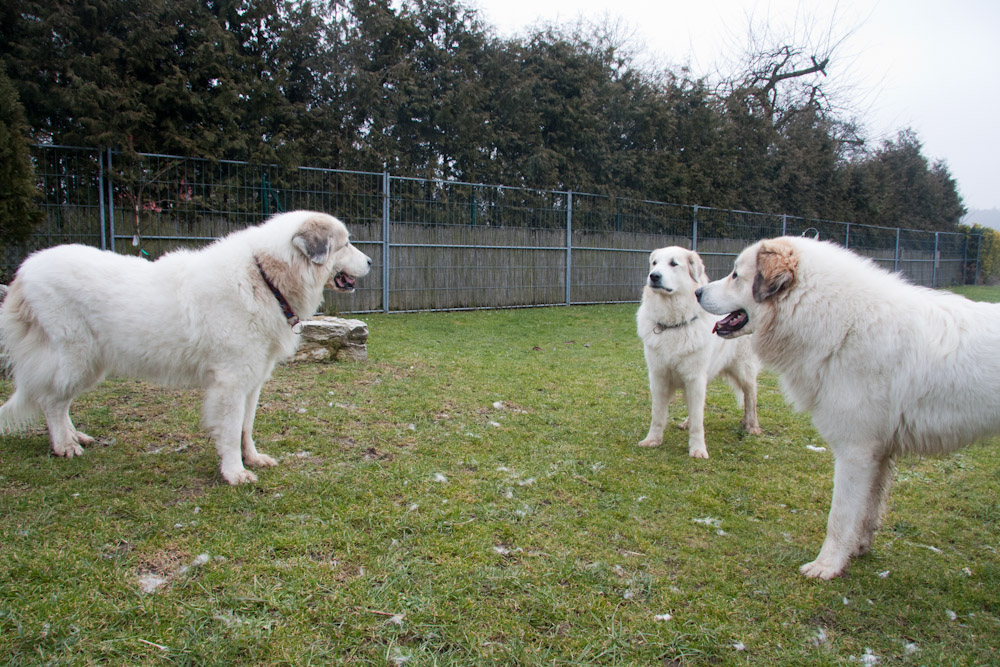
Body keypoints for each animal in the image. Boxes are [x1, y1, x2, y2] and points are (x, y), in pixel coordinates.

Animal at [636, 245, 760, 460]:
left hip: (743, 369)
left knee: (750, 394)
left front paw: (698, 449)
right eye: (654, 263)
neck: (674, 325)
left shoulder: (695, 377)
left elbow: (698, 421)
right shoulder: (659, 377)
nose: (654, 276)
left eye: (673, 263)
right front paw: (653, 440)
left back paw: (751, 425)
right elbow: (658, 414)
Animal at [696, 239, 1000, 580]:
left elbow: (840, 517)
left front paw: (827, 566)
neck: (842, 322)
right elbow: (867, 512)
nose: (697, 292)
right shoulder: (880, 453)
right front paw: (857, 550)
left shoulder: (856, 451)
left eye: (736, 275)